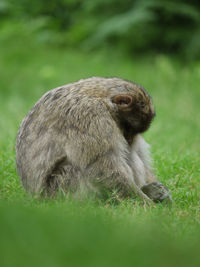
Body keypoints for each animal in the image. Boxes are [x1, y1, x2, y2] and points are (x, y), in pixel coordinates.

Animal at [16, 77, 172, 203]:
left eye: (132, 132)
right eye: (128, 129)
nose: (129, 139)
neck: (99, 96)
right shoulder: (90, 114)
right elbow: (101, 169)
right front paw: (144, 203)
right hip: (57, 191)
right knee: (73, 169)